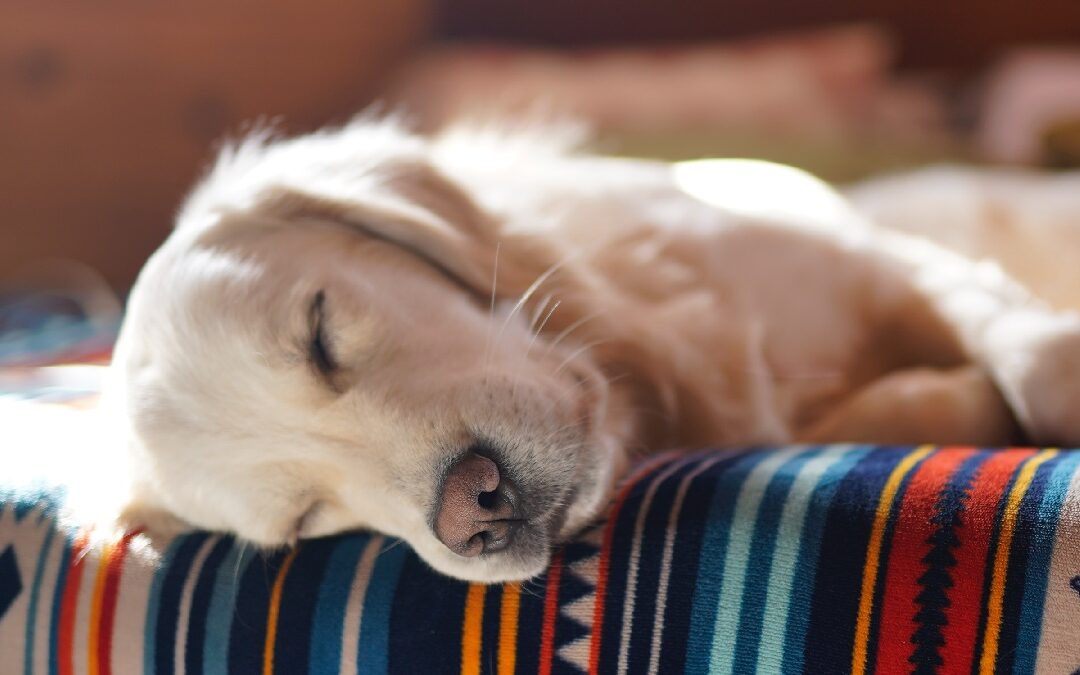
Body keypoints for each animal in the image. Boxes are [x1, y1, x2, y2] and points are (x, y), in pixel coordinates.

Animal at [111, 118, 1080, 583]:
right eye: (302, 521)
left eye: (319, 334)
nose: (474, 513)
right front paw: (960, 399)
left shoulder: (876, 260)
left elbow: (1023, 344)